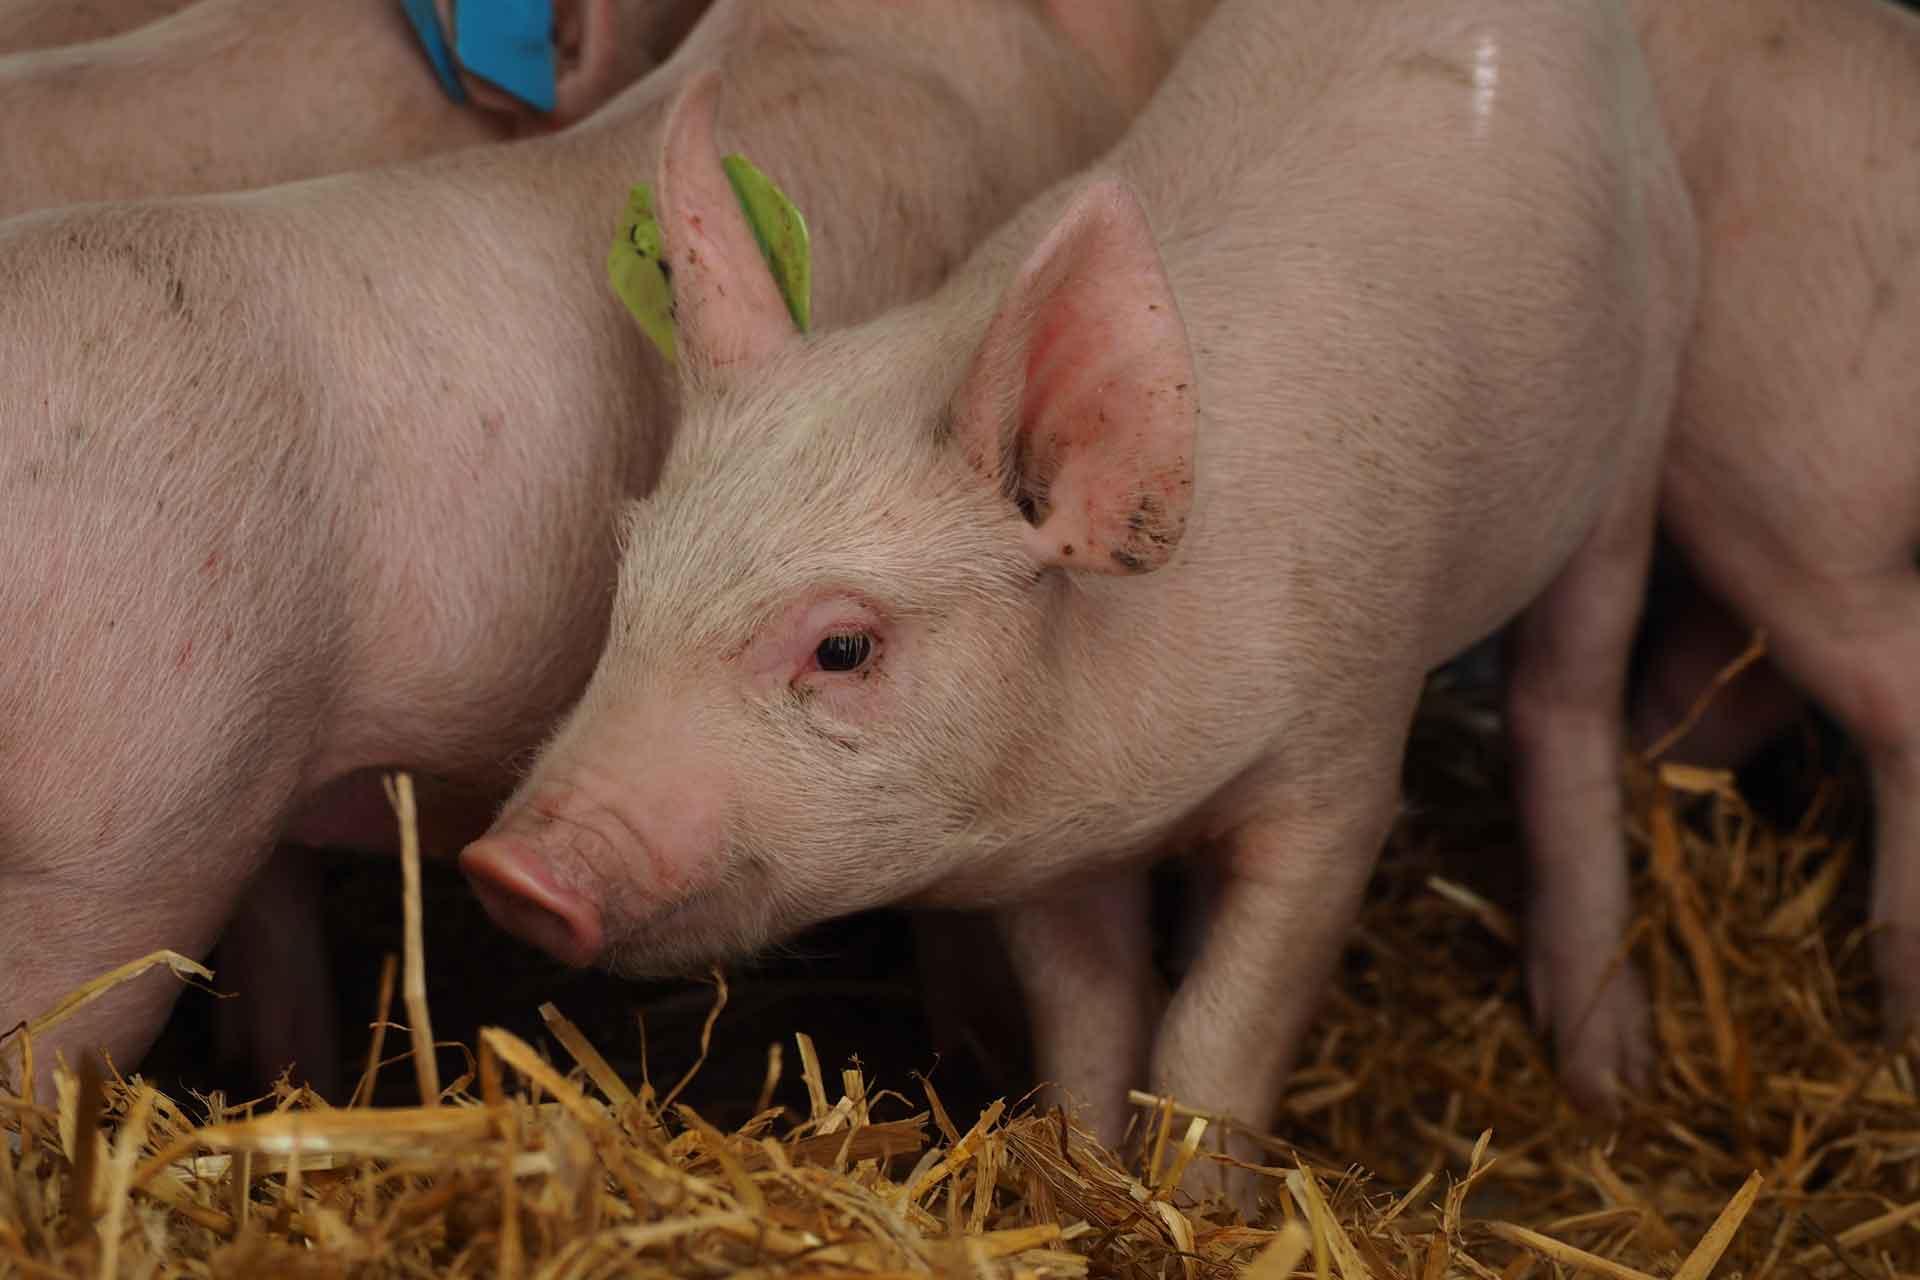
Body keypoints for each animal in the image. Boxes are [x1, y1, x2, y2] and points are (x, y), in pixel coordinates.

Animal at [461, 0, 1696, 1199]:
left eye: (844, 646)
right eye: (629, 575)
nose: (505, 869)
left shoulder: (1343, 762)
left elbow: (1214, 1037)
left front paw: (1201, 1209)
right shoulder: (1040, 851)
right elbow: (1091, 1030)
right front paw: (1090, 1180)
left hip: (1640, 422)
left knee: (1566, 695)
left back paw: (1611, 1081)